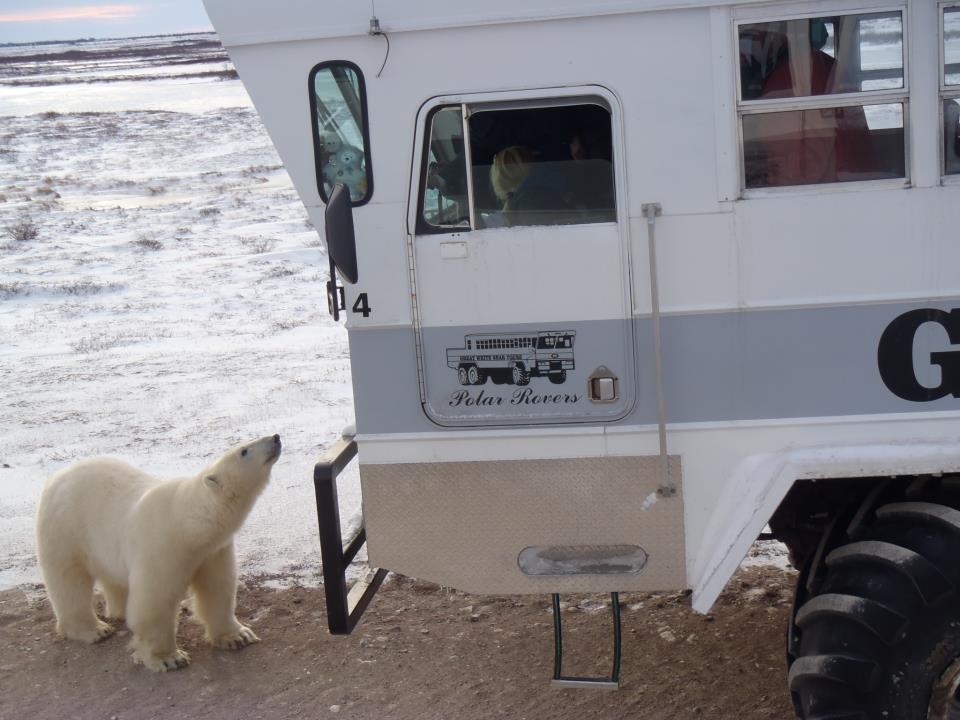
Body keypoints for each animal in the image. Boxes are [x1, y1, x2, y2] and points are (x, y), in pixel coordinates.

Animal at [35, 434, 282, 671]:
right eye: (244, 451)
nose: (276, 437)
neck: (187, 523)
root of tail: (55, 477)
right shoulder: (162, 545)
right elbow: (154, 601)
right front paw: (168, 659)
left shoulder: (213, 551)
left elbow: (218, 588)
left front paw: (238, 636)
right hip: (65, 528)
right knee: (68, 580)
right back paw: (94, 630)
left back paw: (119, 611)